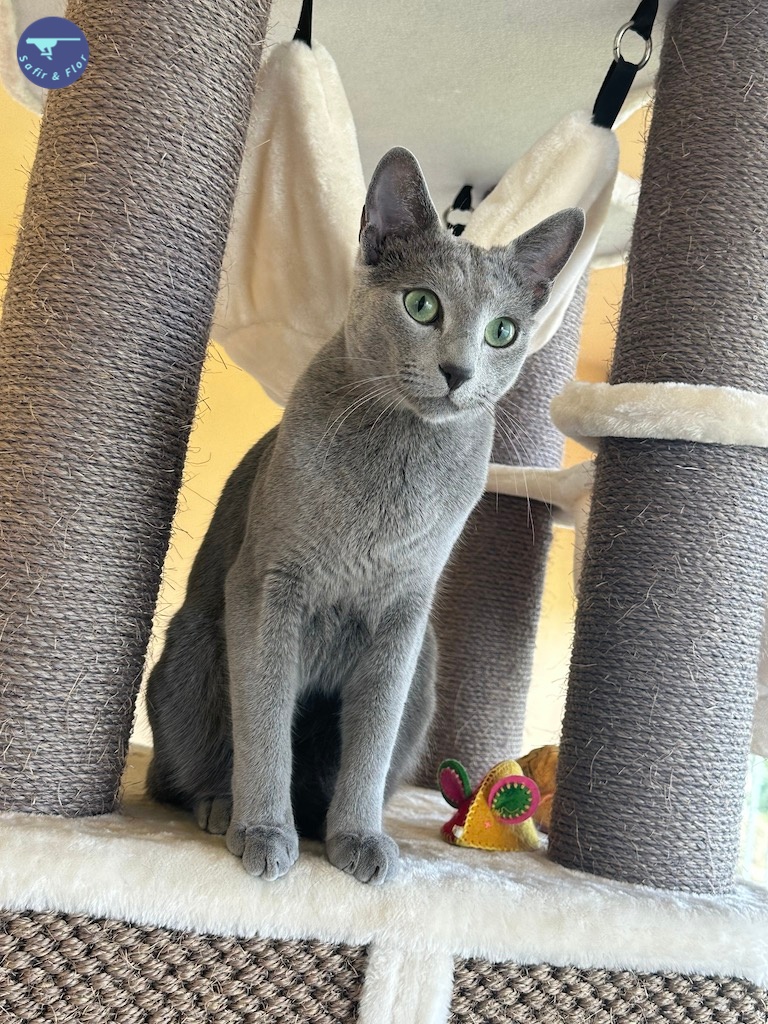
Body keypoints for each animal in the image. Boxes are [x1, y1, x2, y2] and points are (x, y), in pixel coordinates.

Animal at [146, 147, 583, 884]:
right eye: (421, 304)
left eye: (503, 332)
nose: (459, 371)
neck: (397, 464)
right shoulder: (268, 585)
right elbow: (264, 718)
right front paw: (264, 830)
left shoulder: (406, 614)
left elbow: (372, 740)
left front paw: (357, 837)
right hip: (195, 645)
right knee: (175, 774)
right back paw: (220, 806)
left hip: (428, 665)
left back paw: (319, 820)